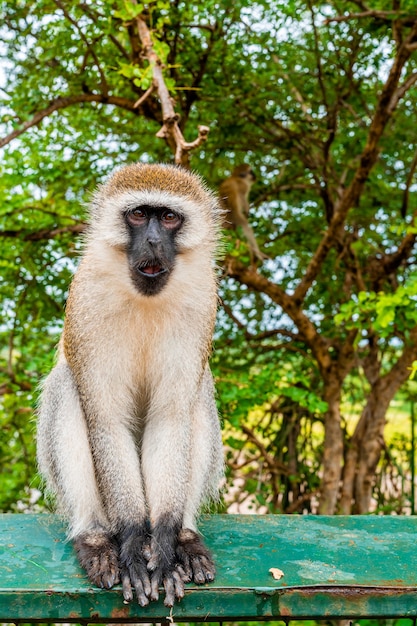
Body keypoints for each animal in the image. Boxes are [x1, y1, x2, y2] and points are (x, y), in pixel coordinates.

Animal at [36, 163, 224, 608]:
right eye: (139, 215)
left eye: (168, 217)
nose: (153, 240)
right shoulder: (87, 299)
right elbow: (105, 422)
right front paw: (136, 541)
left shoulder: (202, 299)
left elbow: (171, 420)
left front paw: (166, 546)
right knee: (67, 385)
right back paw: (95, 539)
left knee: (198, 394)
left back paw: (185, 537)